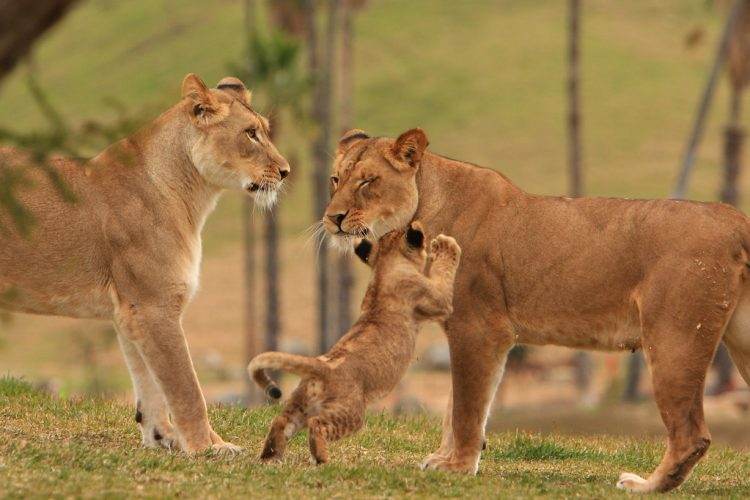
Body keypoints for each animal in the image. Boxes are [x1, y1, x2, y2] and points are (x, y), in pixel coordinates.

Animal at [0, 73, 289, 455]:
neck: (193, 197)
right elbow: (186, 388)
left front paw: (163, 438)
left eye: (265, 130)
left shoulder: (130, 312)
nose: (286, 172)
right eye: (250, 133)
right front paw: (208, 447)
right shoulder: (155, 306)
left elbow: (149, 385)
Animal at [248, 223, 461, 464]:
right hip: (351, 413)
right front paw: (446, 244)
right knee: (316, 425)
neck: (385, 266)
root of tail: (322, 366)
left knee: (280, 422)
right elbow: (444, 275)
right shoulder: (436, 299)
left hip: (299, 405)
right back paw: (322, 460)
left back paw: (269, 458)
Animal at [322, 127, 750, 492]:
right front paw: (446, 459)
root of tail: (735, 218)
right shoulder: (477, 333)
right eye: (335, 180)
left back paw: (644, 486)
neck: (423, 208)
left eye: (367, 181)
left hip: (674, 339)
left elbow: (466, 406)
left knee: (691, 434)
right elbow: (457, 404)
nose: (333, 218)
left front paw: (458, 467)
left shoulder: (479, 328)